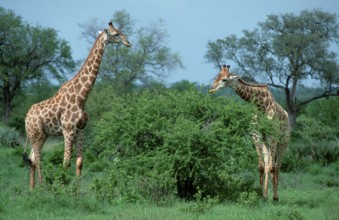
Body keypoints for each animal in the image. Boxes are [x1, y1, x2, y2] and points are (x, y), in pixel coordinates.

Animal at [23, 21, 131, 189]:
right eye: (116, 34)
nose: (128, 43)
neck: (81, 97)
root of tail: (26, 117)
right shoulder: (68, 130)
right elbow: (65, 163)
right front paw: (63, 189)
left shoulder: (81, 130)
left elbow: (79, 162)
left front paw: (78, 191)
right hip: (36, 135)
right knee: (38, 160)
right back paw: (41, 188)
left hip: (43, 134)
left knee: (32, 159)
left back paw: (32, 190)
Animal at [209, 65, 290, 201]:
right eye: (217, 76)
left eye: (224, 79)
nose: (211, 89)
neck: (261, 106)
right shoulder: (257, 137)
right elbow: (261, 166)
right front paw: (261, 195)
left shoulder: (272, 137)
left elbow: (271, 167)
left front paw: (269, 196)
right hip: (266, 143)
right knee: (269, 164)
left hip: (283, 141)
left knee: (277, 166)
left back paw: (276, 196)